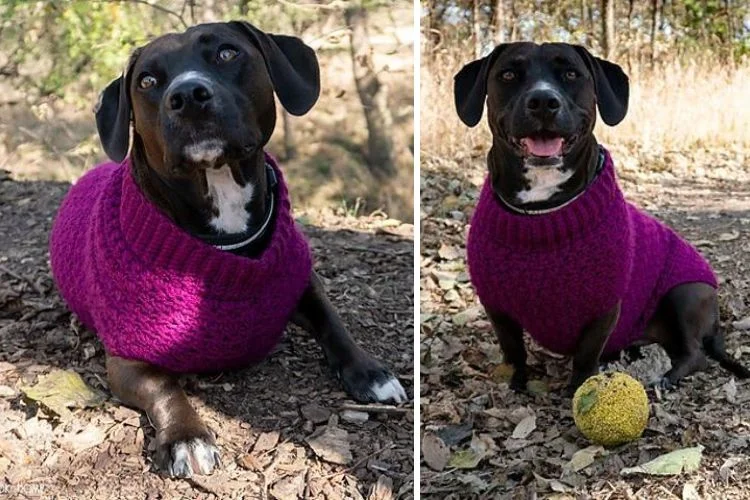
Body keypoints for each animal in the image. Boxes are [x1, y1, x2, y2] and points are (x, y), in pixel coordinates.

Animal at [90, 21, 408, 478]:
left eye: (227, 53)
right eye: (147, 81)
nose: (187, 96)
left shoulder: (302, 284)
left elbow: (335, 324)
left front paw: (369, 372)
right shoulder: (125, 359)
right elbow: (164, 385)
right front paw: (187, 436)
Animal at [452, 42, 750, 394]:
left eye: (571, 74)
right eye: (509, 74)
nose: (543, 101)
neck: (542, 213)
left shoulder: (604, 307)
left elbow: (586, 354)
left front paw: (580, 388)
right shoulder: (497, 304)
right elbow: (513, 350)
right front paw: (516, 383)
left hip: (686, 292)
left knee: (695, 354)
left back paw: (666, 377)